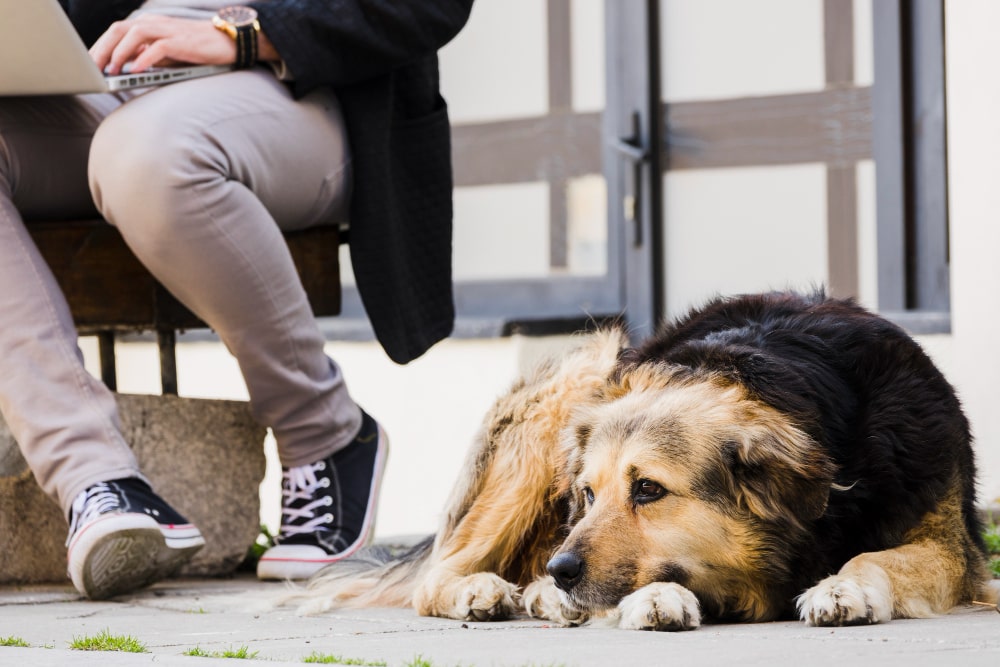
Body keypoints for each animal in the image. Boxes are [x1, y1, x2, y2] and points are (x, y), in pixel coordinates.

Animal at [286, 292, 996, 632]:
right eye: (588, 494)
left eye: (649, 489)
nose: (562, 569)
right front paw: (654, 598)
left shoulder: (947, 544)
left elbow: (876, 557)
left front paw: (842, 587)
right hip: (573, 384)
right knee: (440, 571)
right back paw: (491, 591)